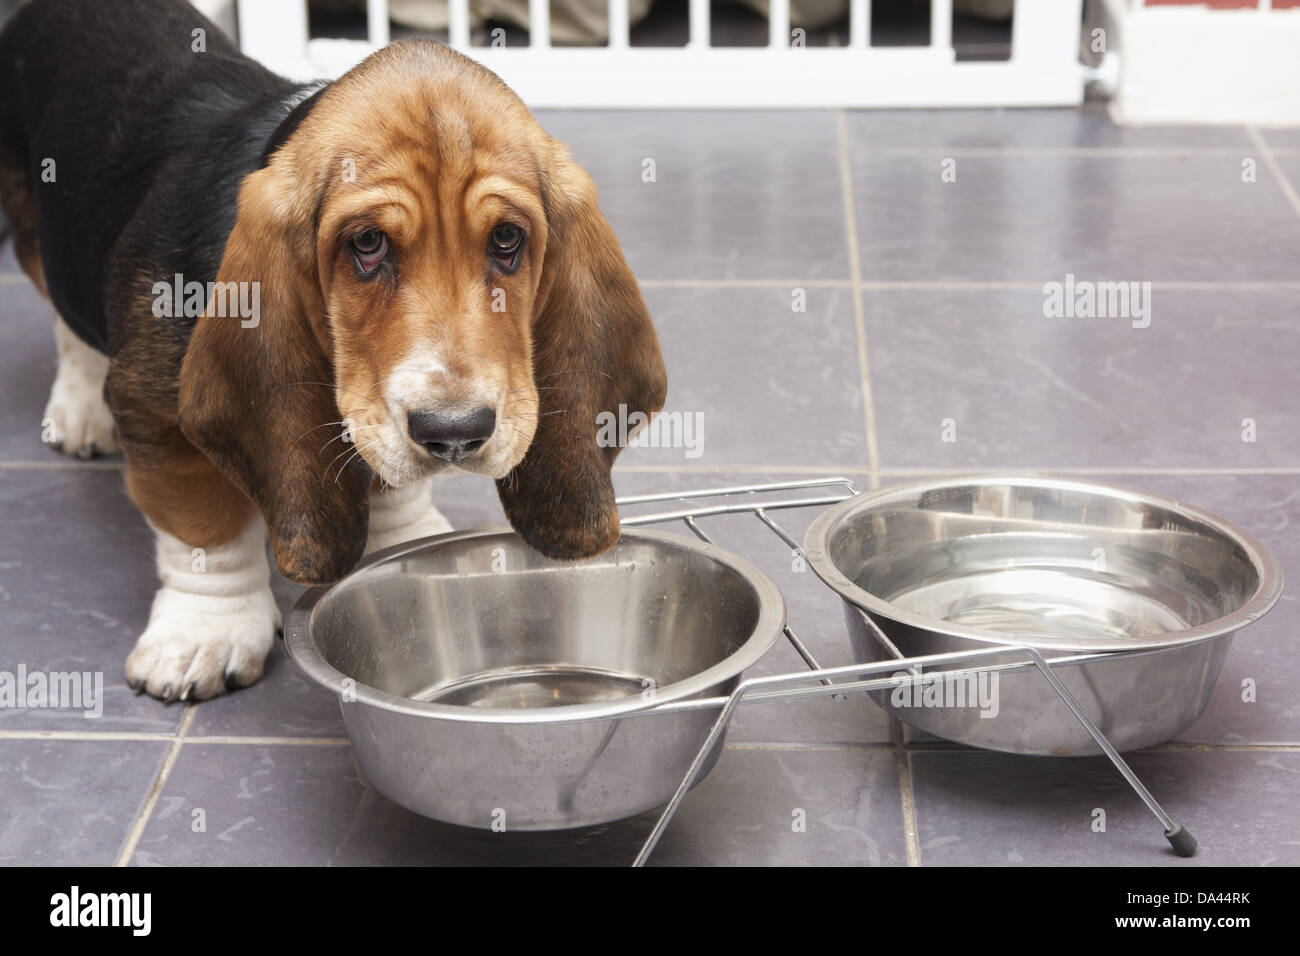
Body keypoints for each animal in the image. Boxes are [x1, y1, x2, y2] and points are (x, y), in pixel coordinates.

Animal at [0, 0, 670, 702]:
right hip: (37, 240)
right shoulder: (160, 414)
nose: (455, 433)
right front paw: (205, 634)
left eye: (508, 239)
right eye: (367, 244)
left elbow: (389, 478)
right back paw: (78, 409)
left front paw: (409, 539)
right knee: (68, 322)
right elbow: (204, 527)